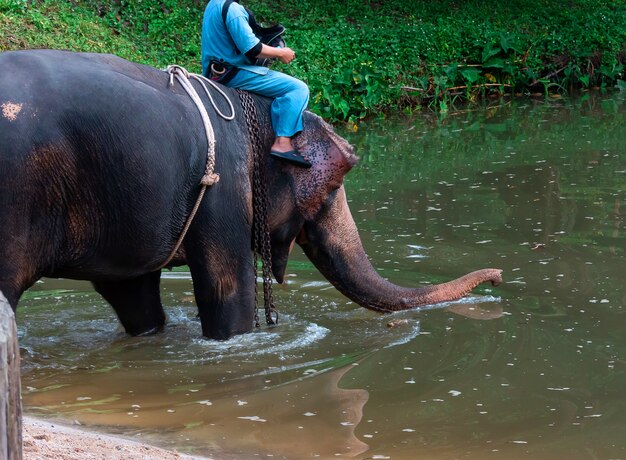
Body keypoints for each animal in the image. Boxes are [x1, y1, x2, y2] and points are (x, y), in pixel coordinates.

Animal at [0, 50, 500, 340]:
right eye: (335, 187)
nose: (497, 278)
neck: (253, 106)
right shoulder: (224, 193)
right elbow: (227, 292)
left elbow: (135, 296)